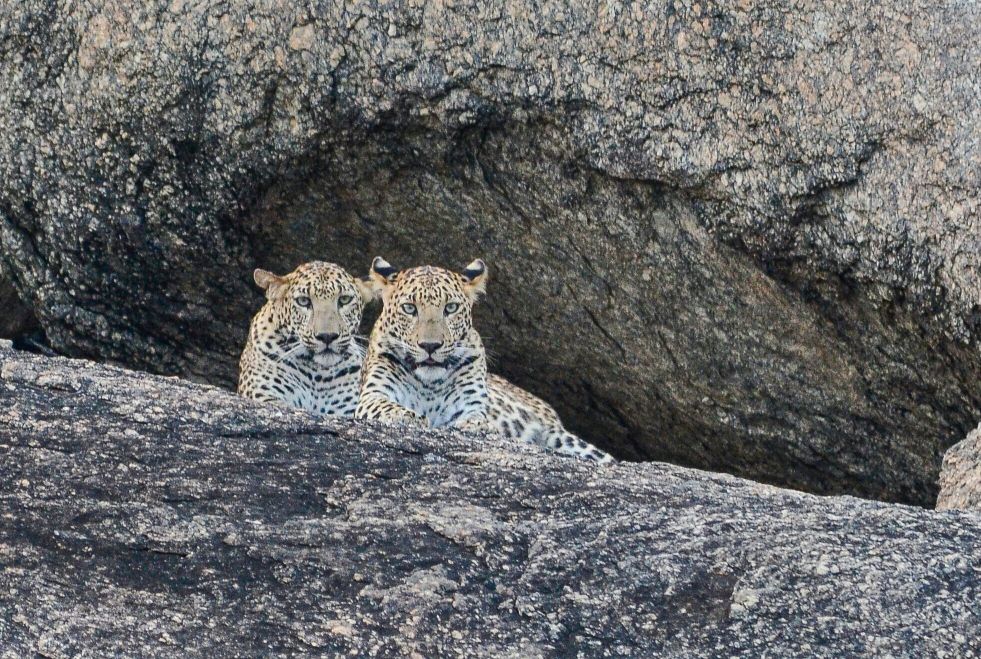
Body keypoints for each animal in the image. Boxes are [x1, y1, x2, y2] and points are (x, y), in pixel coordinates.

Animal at [355, 257, 614, 464]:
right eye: (409, 308)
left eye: (450, 308)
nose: (430, 346)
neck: (429, 384)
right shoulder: (372, 395)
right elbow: (388, 407)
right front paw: (407, 417)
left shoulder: (470, 403)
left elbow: (476, 419)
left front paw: (476, 426)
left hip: (564, 438)